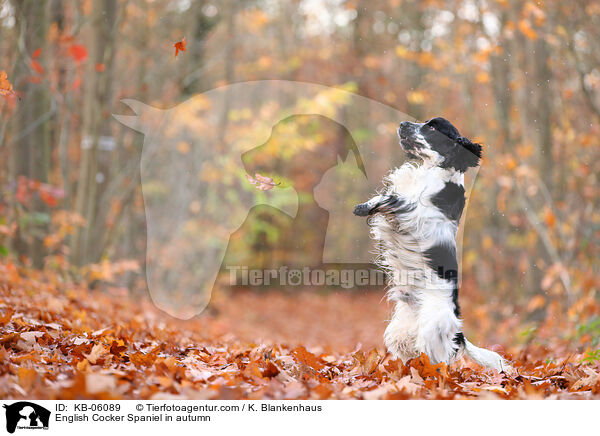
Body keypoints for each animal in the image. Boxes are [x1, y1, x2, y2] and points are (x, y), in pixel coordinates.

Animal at [354, 116, 508, 372]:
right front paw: (365, 207)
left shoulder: (419, 214)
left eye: (433, 127)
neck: (434, 172)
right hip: (400, 330)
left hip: (431, 329)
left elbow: (393, 199)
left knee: (439, 360)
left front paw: (369, 207)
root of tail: (458, 328)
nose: (403, 123)